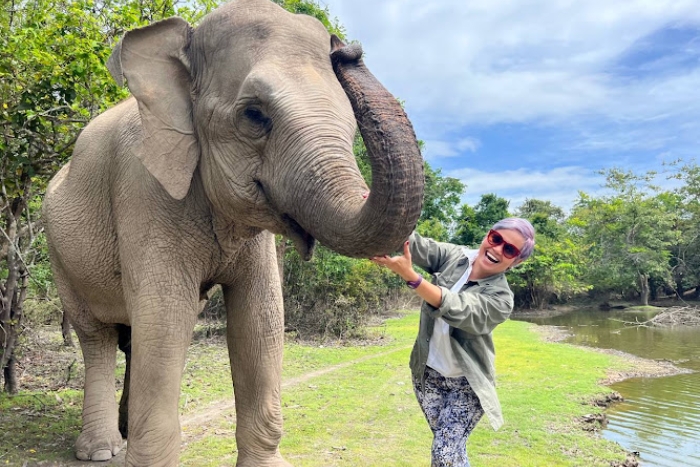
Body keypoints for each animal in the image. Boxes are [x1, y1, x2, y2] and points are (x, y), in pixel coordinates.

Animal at [43, 0, 424, 466]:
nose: (346, 49)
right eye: (254, 115)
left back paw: (125, 432)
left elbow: (260, 317)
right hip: (59, 253)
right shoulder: (142, 189)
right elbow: (167, 318)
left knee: (133, 339)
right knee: (97, 337)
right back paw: (102, 450)